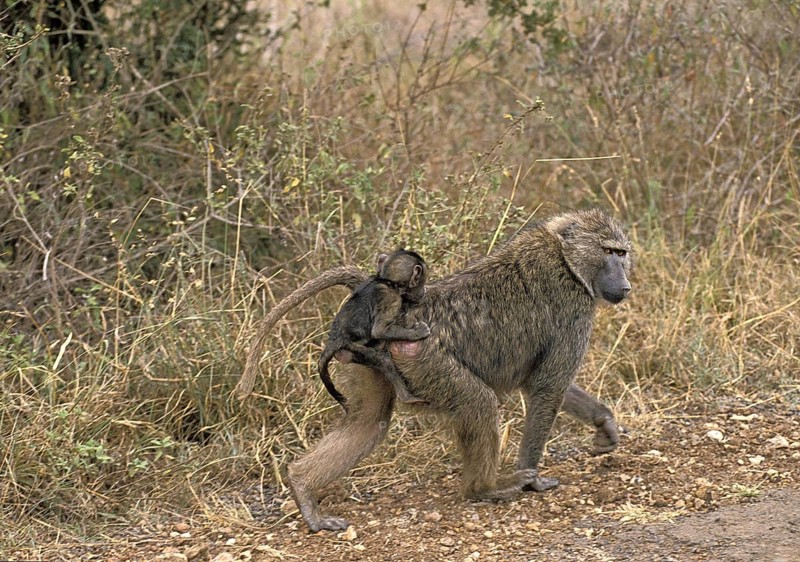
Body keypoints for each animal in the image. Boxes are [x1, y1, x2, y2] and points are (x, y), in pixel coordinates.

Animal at [318, 249, 430, 409]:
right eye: (422, 281)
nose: (424, 292)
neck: (387, 281)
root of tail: (334, 340)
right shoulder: (391, 298)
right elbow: (380, 330)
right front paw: (417, 333)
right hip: (352, 348)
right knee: (383, 360)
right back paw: (407, 397)